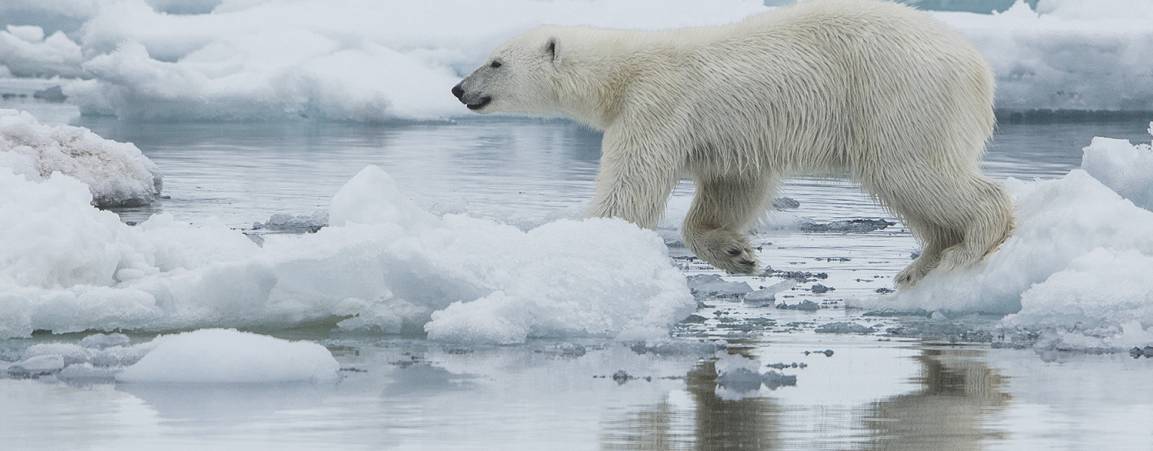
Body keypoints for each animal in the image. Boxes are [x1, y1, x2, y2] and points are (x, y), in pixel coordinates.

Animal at [449, 0, 1010, 288]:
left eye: (495, 61)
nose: (458, 89)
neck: (625, 68)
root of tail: (979, 67)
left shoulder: (657, 103)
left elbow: (632, 186)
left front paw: (585, 241)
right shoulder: (729, 136)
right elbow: (734, 186)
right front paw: (738, 254)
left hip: (901, 95)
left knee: (913, 171)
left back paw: (968, 246)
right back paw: (922, 265)